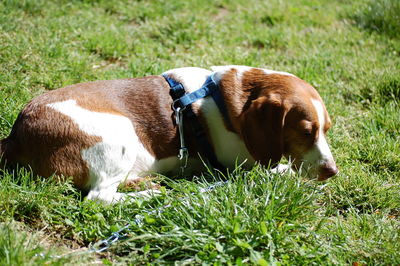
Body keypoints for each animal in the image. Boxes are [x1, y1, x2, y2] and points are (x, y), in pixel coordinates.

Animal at [0, 66, 338, 202]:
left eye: (326, 129)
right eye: (306, 131)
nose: (332, 172)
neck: (224, 99)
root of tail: (16, 135)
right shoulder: (243, 166)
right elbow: (283, 170)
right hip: (121, 133)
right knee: (99, 198)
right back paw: (151, 194)